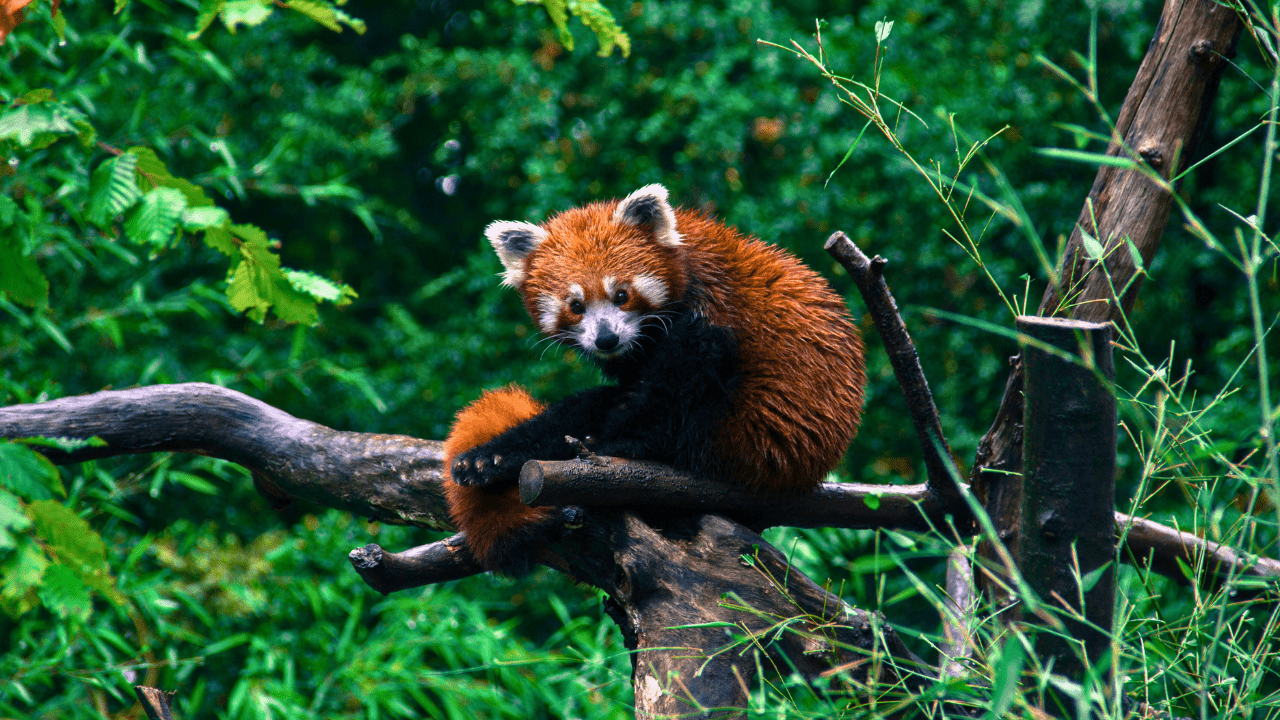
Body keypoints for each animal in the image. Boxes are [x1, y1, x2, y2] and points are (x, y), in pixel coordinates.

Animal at [445, 183, 865, 571]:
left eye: (621, 295)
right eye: (576, 306)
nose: (607, 339)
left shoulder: (713, 308)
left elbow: (682, 371)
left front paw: (614, 442)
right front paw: (492, 457)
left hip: (746, 428)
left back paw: (616, 446)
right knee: (587, 405)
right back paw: (495, 458)